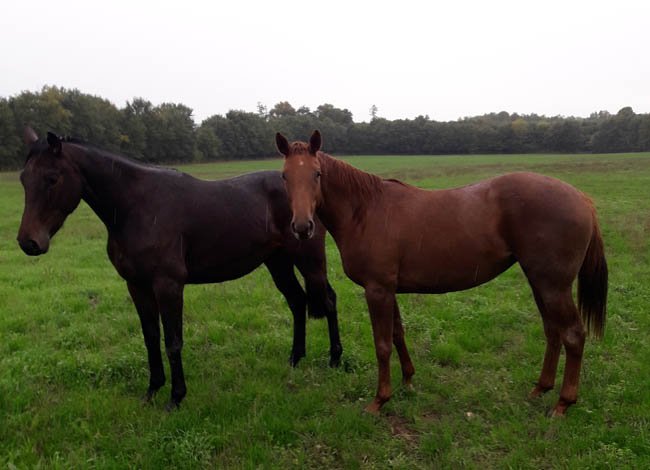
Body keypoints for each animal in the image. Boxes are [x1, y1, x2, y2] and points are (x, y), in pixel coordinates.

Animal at [17, 127, 342, 410]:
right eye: (23, 179)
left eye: (52, 178)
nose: (28, 242)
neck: (137, 207)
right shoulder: (137, 286)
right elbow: (150, 338)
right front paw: (152, 390)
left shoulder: (168, 285)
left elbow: (172, 341)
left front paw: (176, 397)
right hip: (278, 262)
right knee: (297, 302)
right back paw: (294, 360)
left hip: (309, 260)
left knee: (327, 300)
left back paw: (335, 361)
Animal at [276, 130, 607, 417]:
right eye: (285, 176)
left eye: (317, 174)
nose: (302, 227)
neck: (366, 211)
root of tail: (582, 199)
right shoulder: (388, 289)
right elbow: (397, 335)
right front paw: (408, 381)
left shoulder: (377, 289)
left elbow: (382, 345)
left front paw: (380, 399)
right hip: (540, 282)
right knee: (553, 331)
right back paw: (540, 389)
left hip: (554, 286)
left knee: (573, 335)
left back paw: (563, 403)